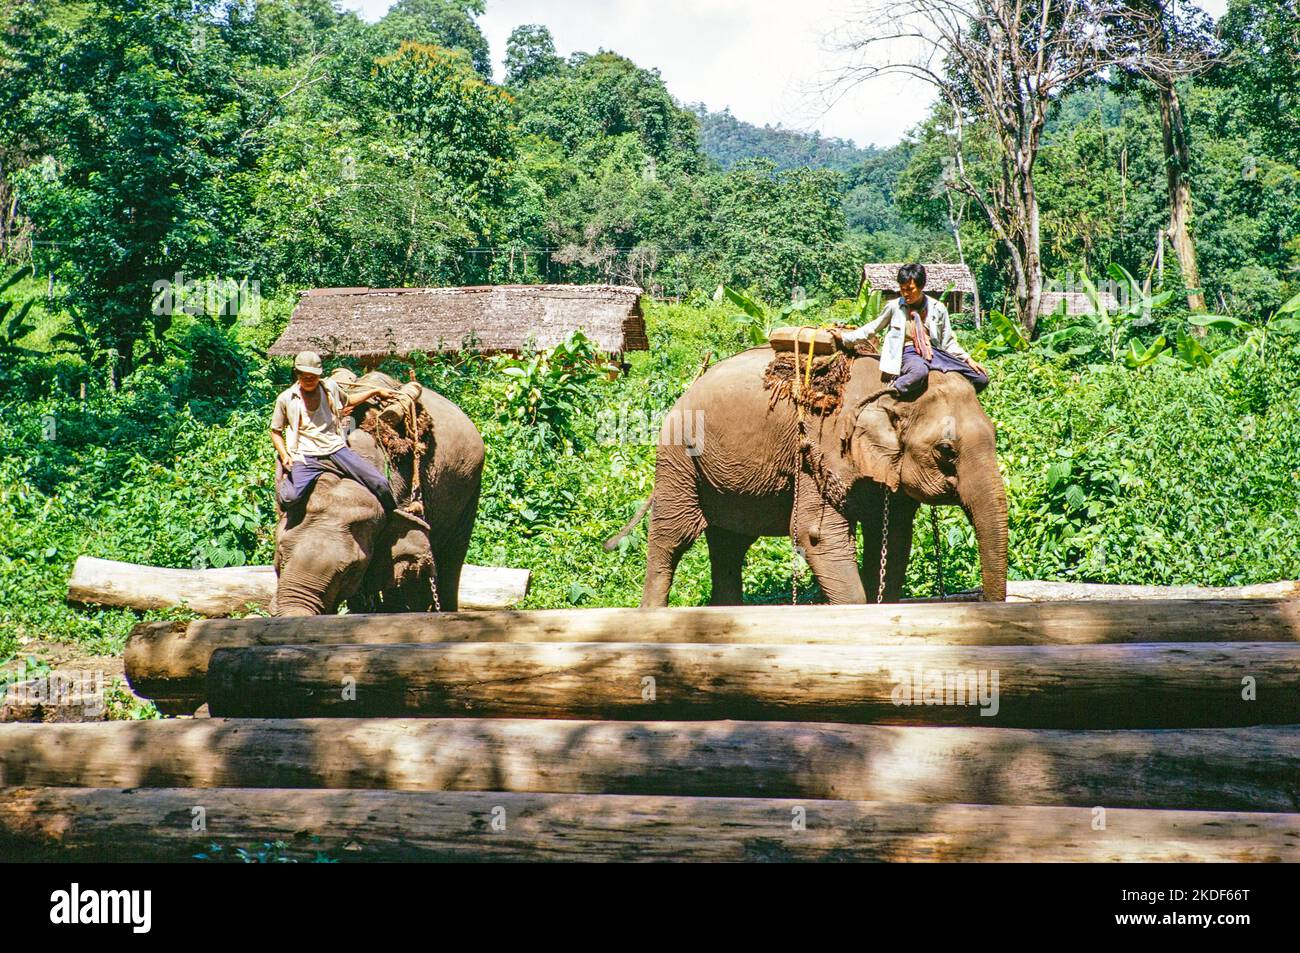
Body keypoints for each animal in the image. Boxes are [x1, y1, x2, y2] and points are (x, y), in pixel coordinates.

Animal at [603, 345, 1008, 605]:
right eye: (946, 451)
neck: (893, 387)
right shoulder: (818, 449)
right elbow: (818, 537)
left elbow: (893, 539)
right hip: (678, 459)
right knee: (673, 538)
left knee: (730, 545)